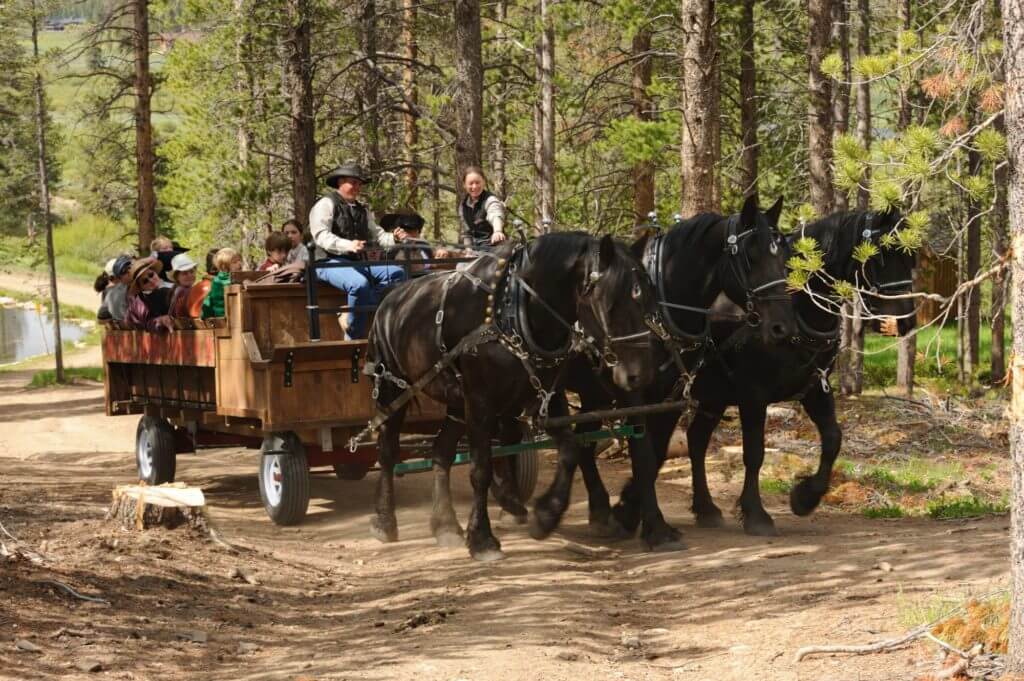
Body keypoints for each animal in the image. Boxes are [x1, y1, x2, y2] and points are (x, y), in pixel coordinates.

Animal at [366, 231, 655, 561]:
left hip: (456, 402)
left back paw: (446, 525)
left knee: (441, 452)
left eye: (647, 296)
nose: (641, 374)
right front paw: (482, 538)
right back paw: (385, 521)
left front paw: (546, 515)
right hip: (393, 388)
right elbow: (481, 469)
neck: (511, 309)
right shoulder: (480, 401)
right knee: (388, 450)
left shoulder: (548, 395)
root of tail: (390, 298)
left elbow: (570, 450)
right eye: (610, 302)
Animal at [552, 196, 798, 548]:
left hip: (593, 393)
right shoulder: (635, 396)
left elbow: (655, 454)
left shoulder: (668, 397)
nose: (783, 326)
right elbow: (643, 456)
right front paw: (653, 526)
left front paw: (628, 511)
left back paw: (600, 511)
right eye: (751, 257)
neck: (662, 309)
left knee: (584, 443)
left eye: (784, 256)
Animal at [606, 204, 921, 532]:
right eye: (884, 253)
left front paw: (805, 497)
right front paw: (755, 513)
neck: (798, 308)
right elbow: (754, 453)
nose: (906, 320)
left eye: (912, 256)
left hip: (711, 396)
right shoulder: (752, 394)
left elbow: (833, 439)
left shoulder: (816, 388)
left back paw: (704, 508)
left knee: (695, 440)